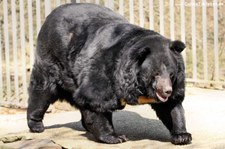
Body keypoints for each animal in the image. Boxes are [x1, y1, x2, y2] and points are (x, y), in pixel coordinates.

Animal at [26, 3, 192, 144]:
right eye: (155, 73)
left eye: (171, 74)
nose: (167, 90)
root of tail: (51, 15)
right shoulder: (105, 68)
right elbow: (95, 98)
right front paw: (115, 137)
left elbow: (171, 107)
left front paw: (182, 136)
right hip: (53, 59)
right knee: (43, 90)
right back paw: (36, 125)